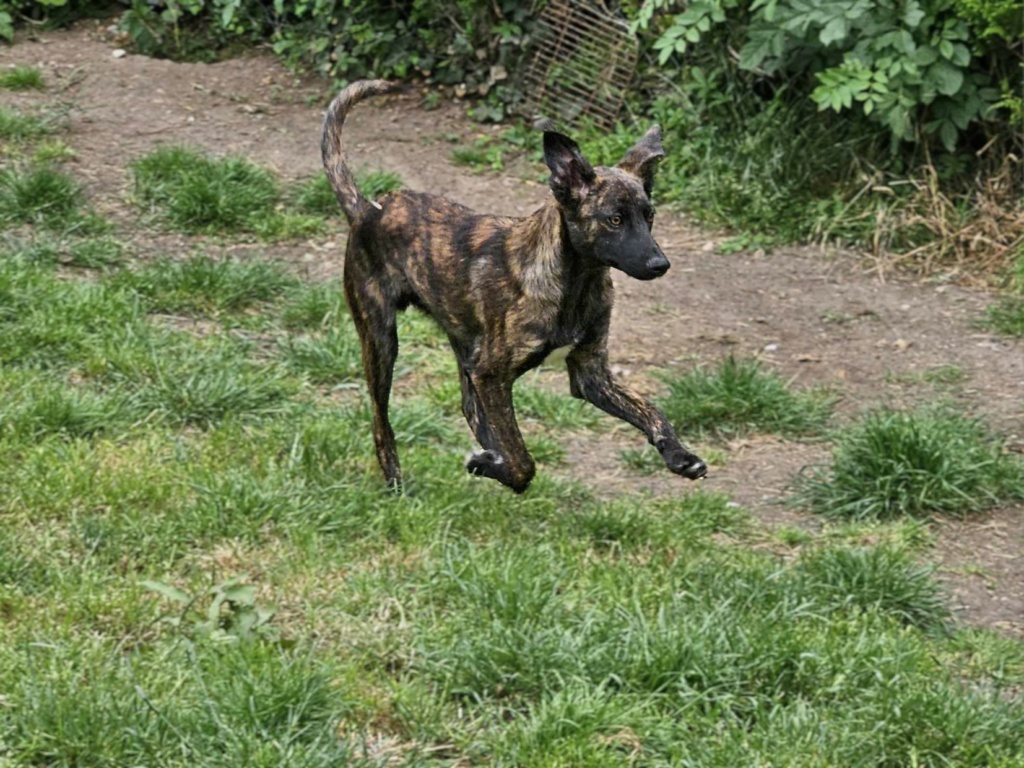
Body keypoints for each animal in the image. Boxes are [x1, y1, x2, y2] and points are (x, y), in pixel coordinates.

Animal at [323, 81, 708, 495]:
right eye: (615, 220)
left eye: (649, 216)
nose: (660, 265)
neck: (575, 282)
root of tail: (367, 209)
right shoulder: (492, 375)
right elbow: (524, 462)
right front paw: (497, 468)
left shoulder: (590, 374)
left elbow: (650, 410)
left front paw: (680, 455)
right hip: (382, 340)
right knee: (382, 422)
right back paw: (401, 482)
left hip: (466, 347)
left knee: (470, 408)